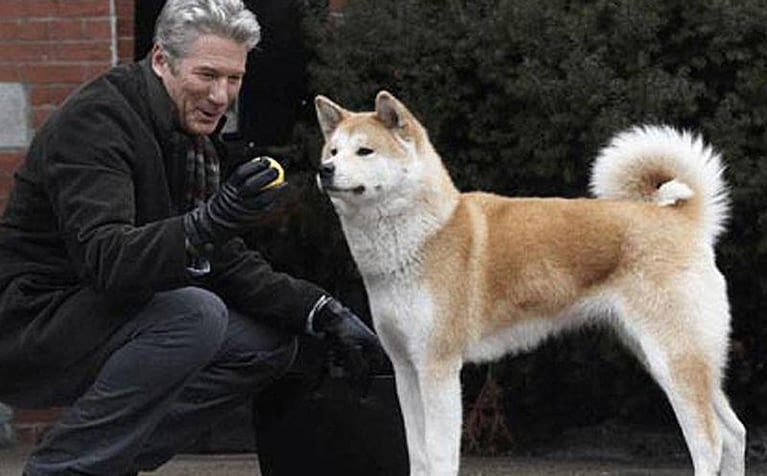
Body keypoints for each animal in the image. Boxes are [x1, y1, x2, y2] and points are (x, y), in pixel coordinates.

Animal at [312, 90, 744, 476]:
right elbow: (417, 455)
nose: (324, 170)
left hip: (674, 359)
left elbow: (438, 456)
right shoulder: (405, 368)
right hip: (676, 357)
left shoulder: (438, 367)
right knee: (734, 434)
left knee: (710, 443)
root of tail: (682, 219)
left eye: (364, 151)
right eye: (332, 151)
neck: (426, 234)